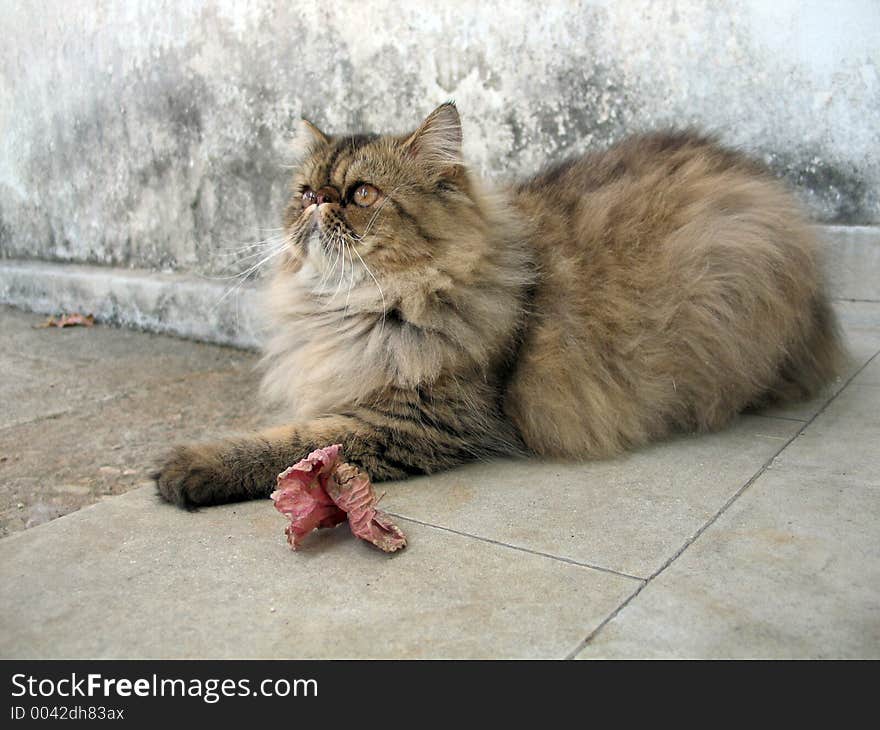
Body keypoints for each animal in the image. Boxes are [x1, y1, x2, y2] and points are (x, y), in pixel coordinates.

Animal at [153, 101, 844, 506]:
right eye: (304, 193)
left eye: (361, 193)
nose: (318, 204)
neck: (355, 311)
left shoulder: (415, 421)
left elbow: (294, 446)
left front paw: (187, 467)